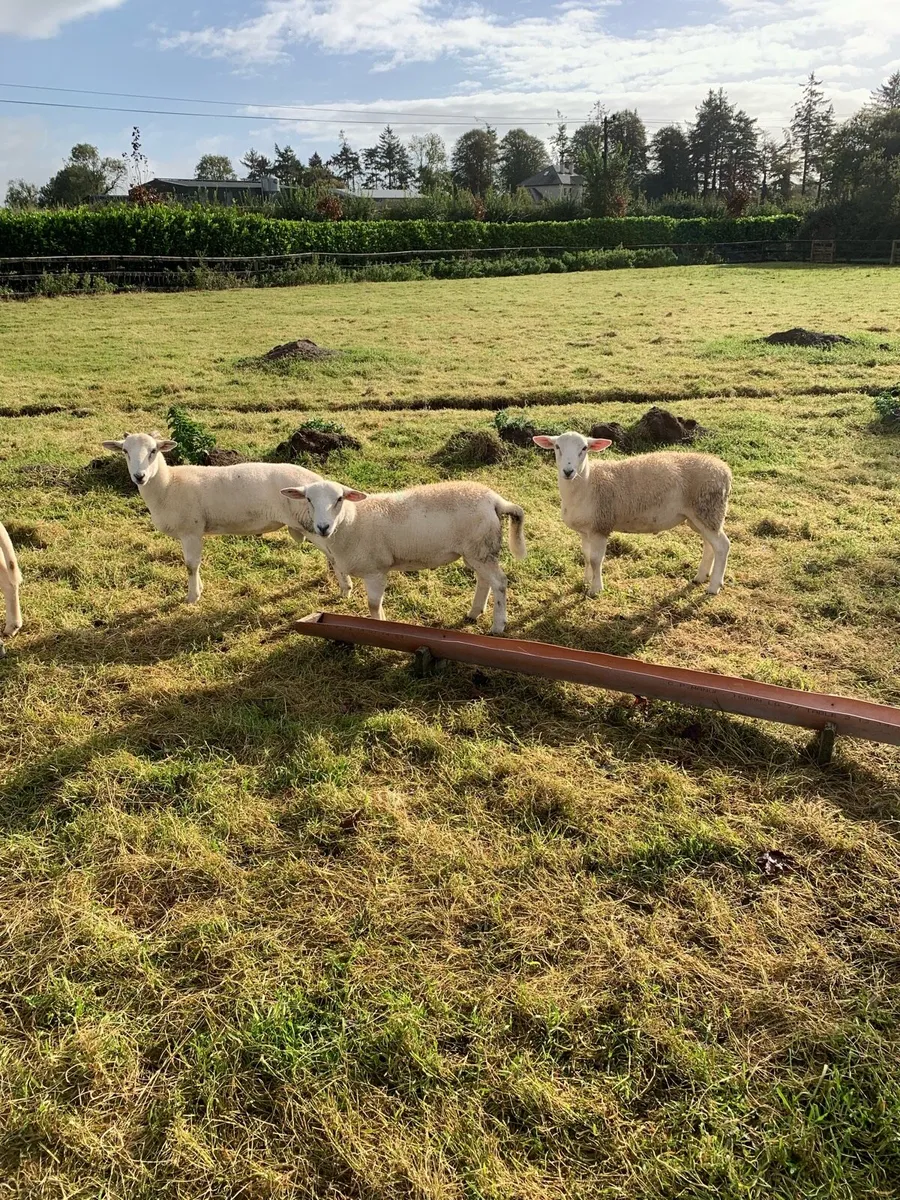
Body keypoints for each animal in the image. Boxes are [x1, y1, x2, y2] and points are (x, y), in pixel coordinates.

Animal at [101, 431, 333, 603]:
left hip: (311, 524)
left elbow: (191, 565)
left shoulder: (191, 531)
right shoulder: (191, 533)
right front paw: (199, 588)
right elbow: (195, 564)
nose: (139, 477)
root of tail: (317, 481)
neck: (168, 485)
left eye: (153, 451)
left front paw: (192, 597)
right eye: (125, 451)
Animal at [280, 478, 527, 634]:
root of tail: (495, 500)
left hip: (480, 549)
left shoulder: (376, 571)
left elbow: (373, 604)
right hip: (476, 551)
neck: (351, 521)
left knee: (500, 583)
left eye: (340, 499)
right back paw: (474, 613)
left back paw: (497, 626)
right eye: (308, 499)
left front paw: (379, 626)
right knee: (484, 580)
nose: (323, 527)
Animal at [532, 431, 732, 595]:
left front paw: (595, 589)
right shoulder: (586, 530)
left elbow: (596, 560)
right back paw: (701, 576)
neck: (587, 483)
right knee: (709, 545)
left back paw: (713, 586)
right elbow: (587, 556)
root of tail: (725, 470)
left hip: (708, 509)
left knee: (722, 546)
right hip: (700, 515)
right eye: (557, 447)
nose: (568, 471)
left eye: (584, 448)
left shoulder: (600, 526)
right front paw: (586, 580)